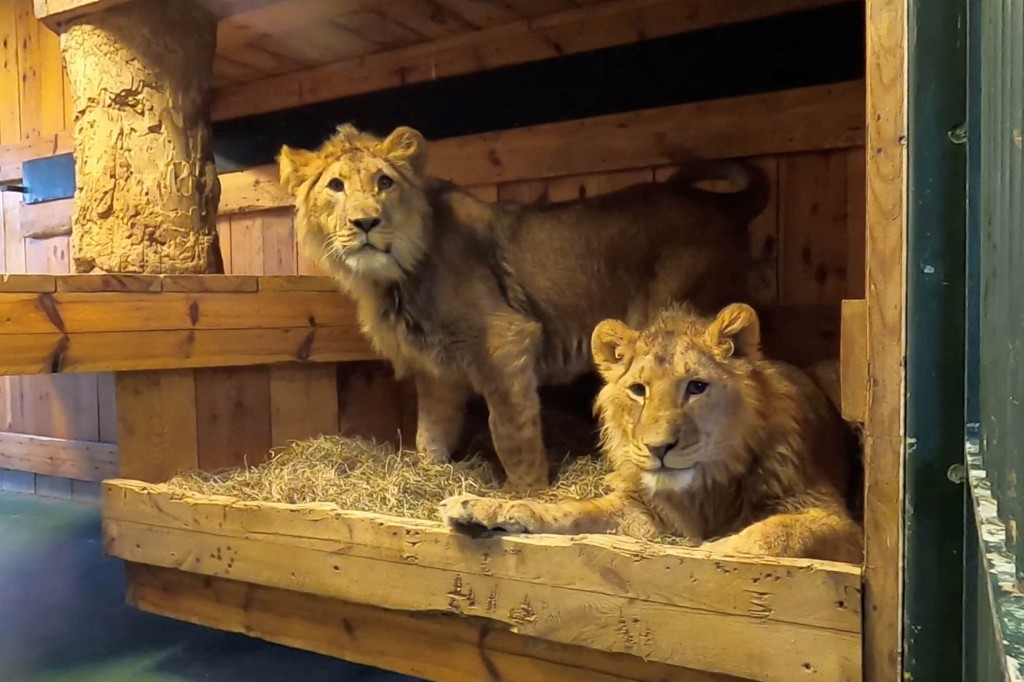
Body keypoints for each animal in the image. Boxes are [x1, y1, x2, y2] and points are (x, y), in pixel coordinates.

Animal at [278, 124, 769, 492]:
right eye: (336, 186)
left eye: (384, 182)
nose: (366, 222)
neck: (394, 275)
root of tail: (721, 202)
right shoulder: (437, 369)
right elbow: (430, 433)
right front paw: (430, 478)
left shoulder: (505, 340)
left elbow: (511, 430)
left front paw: (527, 495)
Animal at [439, 303, 863, 563]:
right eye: (638, 390)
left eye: (696, 387)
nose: (659, 448)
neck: (704, 490)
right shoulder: (639, 510)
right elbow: (571, 511)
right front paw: (481, 507)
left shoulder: (837, 522)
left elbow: (776, 533)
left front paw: (708, 550)